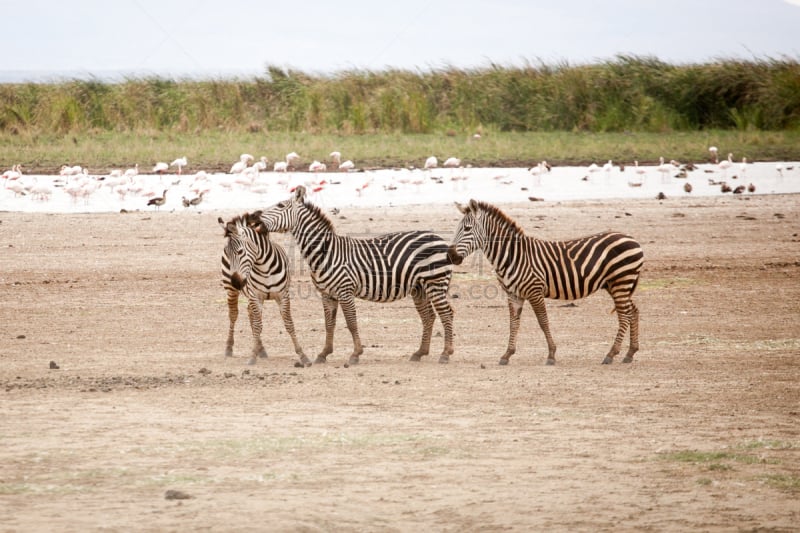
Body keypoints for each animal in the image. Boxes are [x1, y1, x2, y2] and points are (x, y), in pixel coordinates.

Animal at [219, 212, 310, 366]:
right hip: (231, 290)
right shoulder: (256, 296)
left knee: (250, 314)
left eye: (240, 251)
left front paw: (302, 355)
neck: (264, 268)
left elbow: (289, 324)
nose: (237, 282)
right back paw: (229, 347)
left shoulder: (283, 296)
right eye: (228, 253)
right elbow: (257, 325)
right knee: (233, 314)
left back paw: (260, 349)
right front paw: (252, 356)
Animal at [247, 185, 454, 364]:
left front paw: (355, 354)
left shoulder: (345, 291)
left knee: (446, 313)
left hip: (435, 282)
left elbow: (351, 322)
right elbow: (329, 324)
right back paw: (420, 353)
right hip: (419, 287)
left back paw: (445, 354)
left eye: (280, 206)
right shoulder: (327, 294)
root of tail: (439, 238)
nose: (254, 217)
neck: (325, 252)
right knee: (429, 316)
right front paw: (324, 354)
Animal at [450, 200, 644, 366]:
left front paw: (551, 354)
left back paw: (611, 354)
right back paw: (630, 353)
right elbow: (513, 323)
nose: (451, 256)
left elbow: (543, 322)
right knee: (632, 310)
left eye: (467, 228)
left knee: (624, 314)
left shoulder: (534, 291)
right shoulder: (513, 294)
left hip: (621, 281)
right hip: (616, 284)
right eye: (458, 228)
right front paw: (507, 354)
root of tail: (632, 238)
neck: (513, 256)